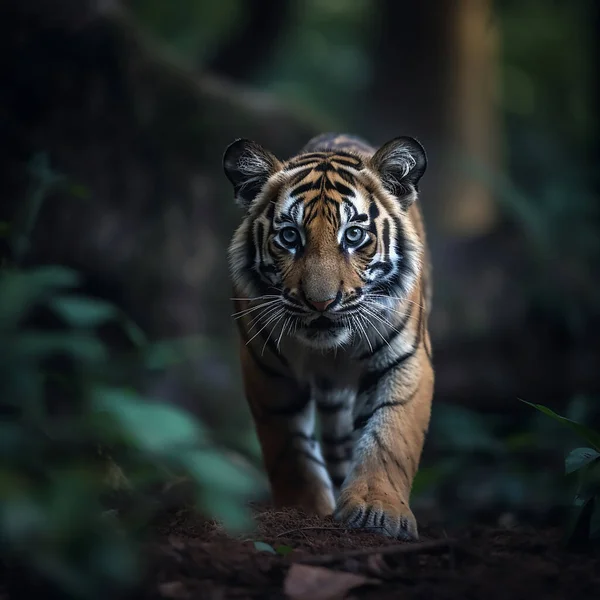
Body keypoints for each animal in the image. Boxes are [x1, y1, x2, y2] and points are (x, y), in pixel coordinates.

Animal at [223, 131, 434, 540]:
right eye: (290, 236)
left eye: (353, 235)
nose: (321, 302)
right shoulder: (267, 369)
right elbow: (289, 450)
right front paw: (303, 510)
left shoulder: (405, 359)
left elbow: (389, 435)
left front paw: (377, 511)